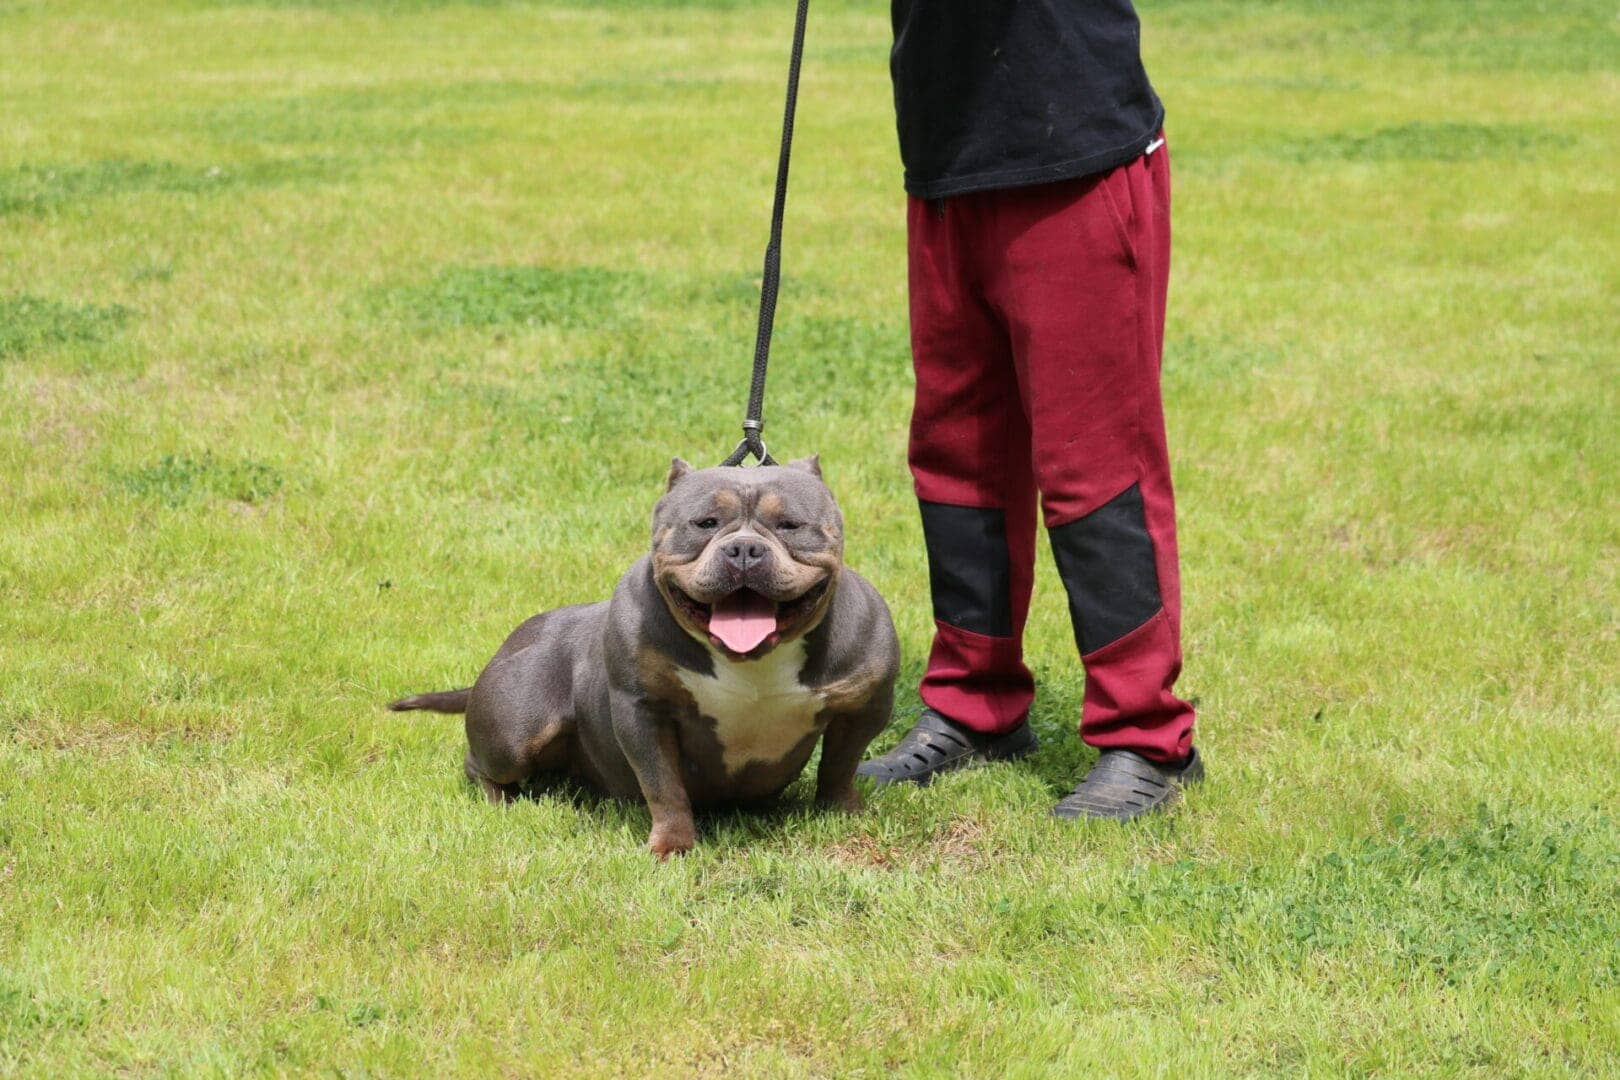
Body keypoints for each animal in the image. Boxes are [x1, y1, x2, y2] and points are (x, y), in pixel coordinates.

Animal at [390, 453, 900, 854]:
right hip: (516, 731)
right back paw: (500, 799)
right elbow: (663, 785)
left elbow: (840, 765)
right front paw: (672, 845)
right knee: (483, 763)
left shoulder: (865, 707)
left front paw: (838, 811)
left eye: (790, 526)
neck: (751, 661)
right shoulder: (642, 711)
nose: (744, 549)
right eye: (705, 523)